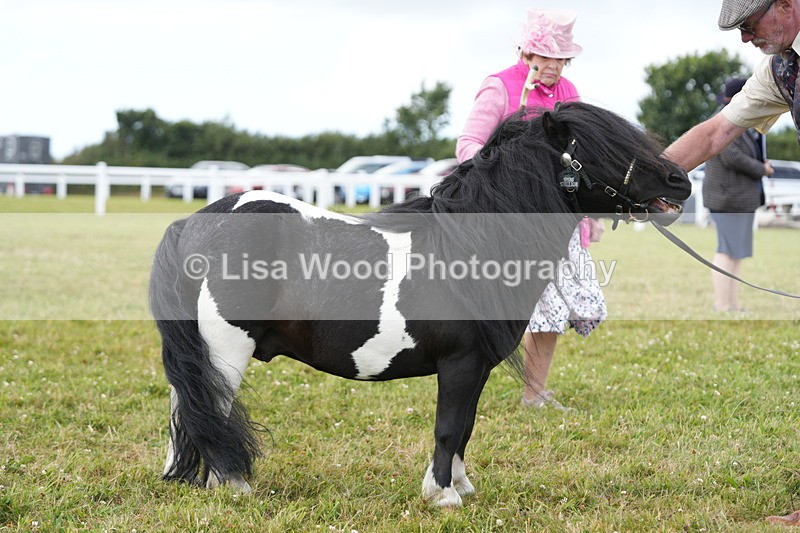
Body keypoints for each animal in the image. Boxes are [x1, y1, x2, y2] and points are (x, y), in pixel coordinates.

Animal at [149, 102, 692, 507]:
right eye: (605, 149)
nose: (679, 180)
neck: (469, 248)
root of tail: (195, 221)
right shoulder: (460, 363)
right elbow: (449, 427)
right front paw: (443, 496)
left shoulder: (476, 366)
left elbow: (466, 426)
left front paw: (461, 486)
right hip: (226, 347)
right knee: (211, 408)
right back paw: (233, 485)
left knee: (187, 406)